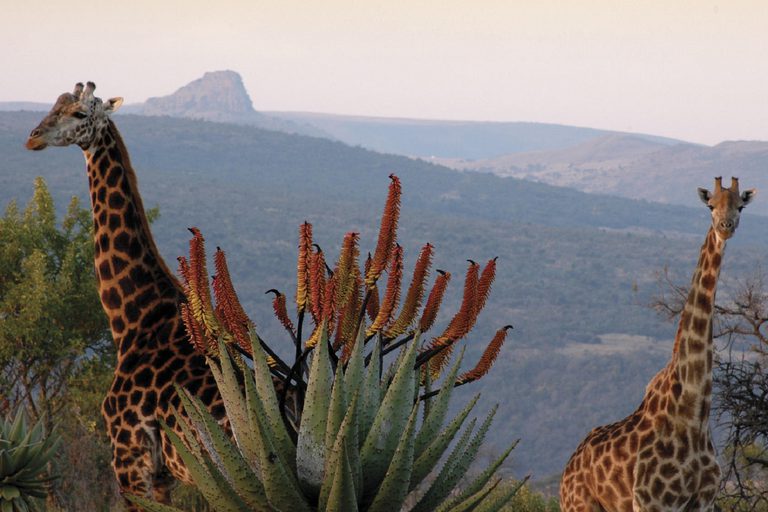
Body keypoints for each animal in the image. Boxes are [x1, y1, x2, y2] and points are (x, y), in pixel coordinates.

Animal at [25, 82, 230, 507]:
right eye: (53, 105)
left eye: (80, 113)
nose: (32, 137)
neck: (135, 318)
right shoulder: (162, 476)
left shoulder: (129, 457)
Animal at [559, 177, 756, 512]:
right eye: (710, 205)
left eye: (740, 206)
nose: (725, 226)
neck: (692, 413)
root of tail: (568, 467)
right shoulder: (652, 501)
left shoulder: (703, 501)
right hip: (578, 505)